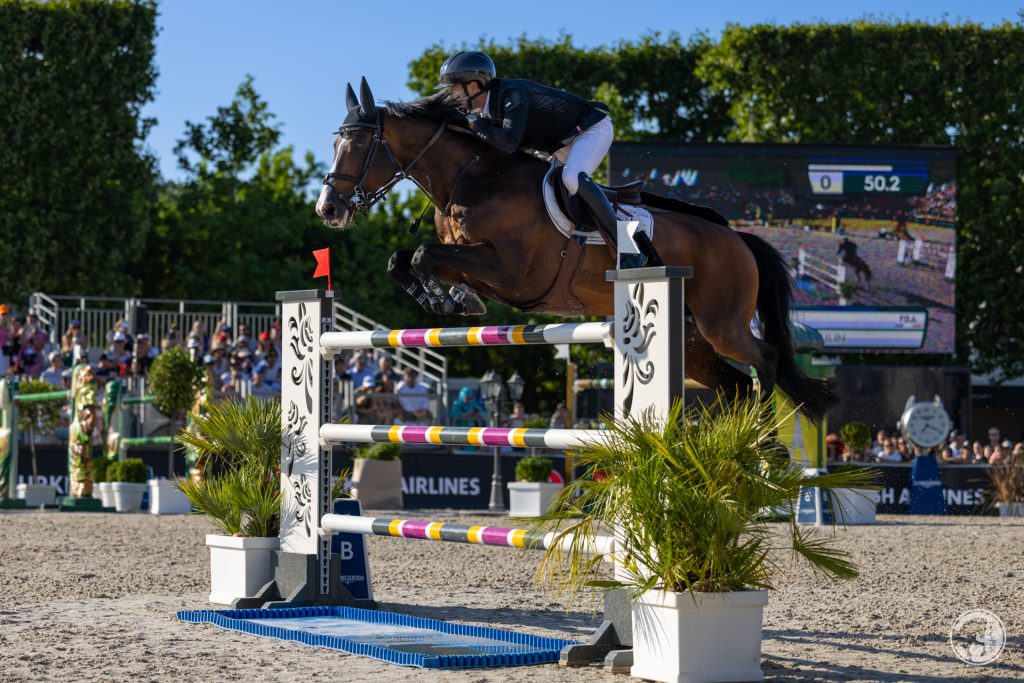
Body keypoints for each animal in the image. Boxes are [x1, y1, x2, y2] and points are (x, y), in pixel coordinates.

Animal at [315, 80, 835, 421]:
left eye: (358, 144)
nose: (328, 209)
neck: (473, 178)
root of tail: (738, 239)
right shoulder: (474, 259)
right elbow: (403, 259)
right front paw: (449, 298)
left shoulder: (510, 272)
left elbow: (425, 254)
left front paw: (449, 299)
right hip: (693, 339)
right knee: (735, 385)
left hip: (721, 323)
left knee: (765, 360)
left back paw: (766, 448)